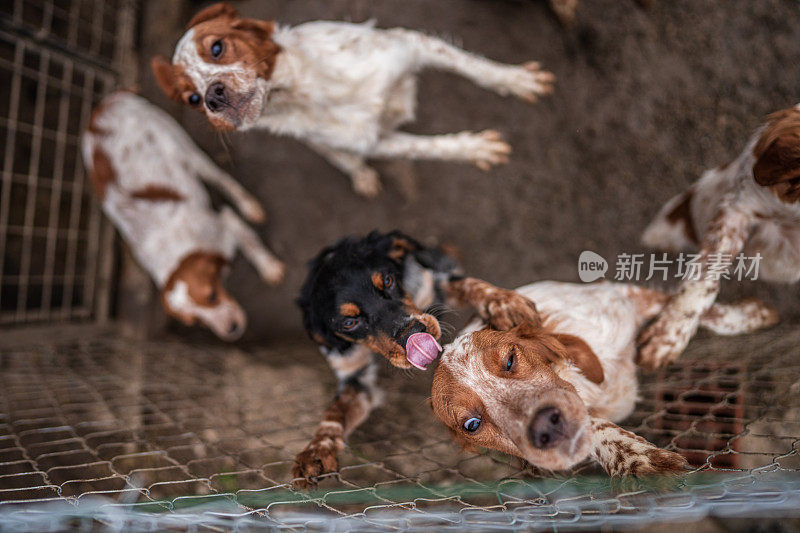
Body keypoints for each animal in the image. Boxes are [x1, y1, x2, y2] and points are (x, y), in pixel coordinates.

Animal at [82, 90, 284, 340]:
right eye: (197, 322)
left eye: (212, 296)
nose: (231, 329)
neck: (180, 254)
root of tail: (106, 105)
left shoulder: (225, 223)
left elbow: (252, 245)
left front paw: (270, 268)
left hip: (184, 147)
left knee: (220, 178)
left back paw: (249, 205)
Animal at [153, 2, 556, 197]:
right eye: (191, 99)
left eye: (217, 48)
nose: (212, 97)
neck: (311, 87)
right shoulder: (373, 141)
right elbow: (426, 148)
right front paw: (474, 149)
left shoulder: (412, 44)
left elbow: (474, 65)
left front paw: (516, 79)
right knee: (343, 159)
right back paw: (361, 175)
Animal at [296, 229, 540, 486]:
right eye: (349, 323)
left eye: (388, 281)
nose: (414, 335)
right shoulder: (355, 378)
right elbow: (333, 413)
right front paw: (315, 451)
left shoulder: (430, 285)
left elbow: (467, 284)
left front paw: (505, 303)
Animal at [432, 280, 776, 476]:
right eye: (471, 425)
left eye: (510, 359)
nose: (544, 427)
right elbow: (597, 429)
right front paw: (633, 456)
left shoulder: (627, 298)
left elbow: (691, 307)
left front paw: (750, 316)